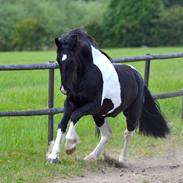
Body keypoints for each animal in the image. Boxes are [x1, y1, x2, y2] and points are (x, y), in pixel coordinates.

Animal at [46, 28, 169, 164]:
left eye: (72, 60)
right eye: (58, 59)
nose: (65, 89)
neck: (88, 74)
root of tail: (138, 76)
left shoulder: (93, 105)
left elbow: (75, 116)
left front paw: (70, 146)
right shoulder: (70, 104)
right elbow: (61, 125)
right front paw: (53, 157)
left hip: (131, 112)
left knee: (128, 133)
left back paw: (122, 159)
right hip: (99, 115)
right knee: (107, 134)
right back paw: (91, 156)